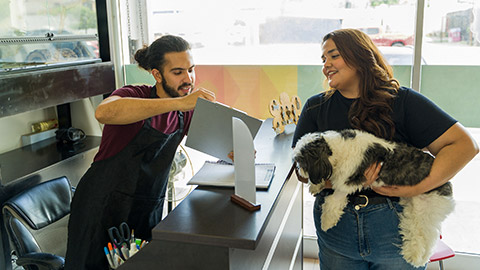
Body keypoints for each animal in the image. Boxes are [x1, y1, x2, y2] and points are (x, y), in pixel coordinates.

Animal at [292, 130, 454, 266]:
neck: (337, 148)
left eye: (301, 161)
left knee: (426, 236)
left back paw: (416, 257)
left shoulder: (348, 182)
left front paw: (327, 221)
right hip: (411, 207)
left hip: (426, 209)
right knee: (412, 228)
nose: (298, 170)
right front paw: (316, 186)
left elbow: (334, 200)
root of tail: (446, 184)